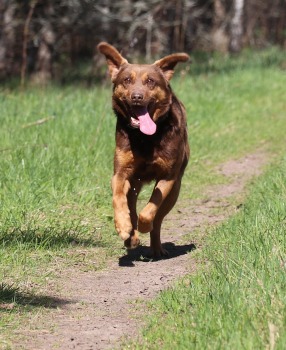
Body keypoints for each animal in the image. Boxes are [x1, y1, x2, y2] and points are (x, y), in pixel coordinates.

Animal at [98, 42, 190, 258]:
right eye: (126, 80)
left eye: (150, 81)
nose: (137, 97)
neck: (146, 138)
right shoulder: (121, 173)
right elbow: (118, 197)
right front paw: (123, 226)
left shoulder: (169, 176)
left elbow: (152, 206)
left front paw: (144, 224)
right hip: (134, 184)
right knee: (131, 203)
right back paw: (131, 236)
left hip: (175, 190)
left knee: (159, 218)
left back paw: (156, 247)